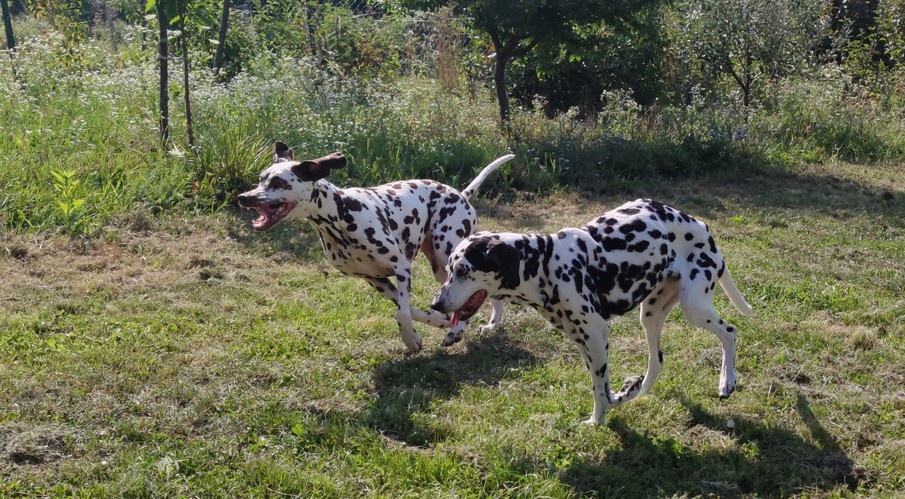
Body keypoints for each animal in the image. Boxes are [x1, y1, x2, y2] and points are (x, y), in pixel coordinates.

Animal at [237, 141, 512, 354]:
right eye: (260, 179)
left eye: (278, 182)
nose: (243, 197)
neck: (340, 216)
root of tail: (462, 195)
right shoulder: (375, 280)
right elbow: (409, 309)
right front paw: (433, 321)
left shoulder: (401, 267)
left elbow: (402, 314)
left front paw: (411, 339)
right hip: (442, 268)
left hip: (448, 259)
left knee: (482, 294)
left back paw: (470, 328)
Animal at [428, 199, 752, 426]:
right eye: (449, 268)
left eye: (463, 270)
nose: (436, 305)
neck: (545, 265)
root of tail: (700, 225)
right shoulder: (582, 340)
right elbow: (603, 389)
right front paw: (613, 404)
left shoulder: (596, 335)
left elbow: (598, 390)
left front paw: (597, 421)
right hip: (650, 316)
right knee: (657, 364)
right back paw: (634, 391)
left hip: (694, 307)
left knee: (730, 332)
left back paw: (726, 381)